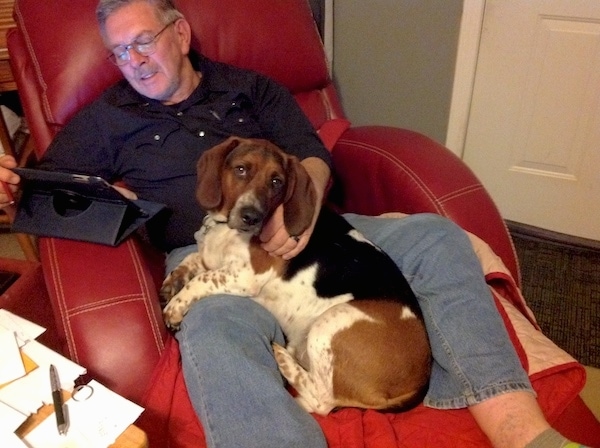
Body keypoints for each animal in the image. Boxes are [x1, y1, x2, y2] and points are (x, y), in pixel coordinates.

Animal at [159, 137, 432, 416]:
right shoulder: (211, 259)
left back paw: (281, 356)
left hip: (330, 322)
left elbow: (200, 280)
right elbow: (191, 261)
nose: (251, 217)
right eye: (241, 169)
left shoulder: (245, 276)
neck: (225, 228)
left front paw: (176, 307)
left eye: (276, 181)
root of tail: (421, 381)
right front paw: (174, 281)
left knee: (321, 401)